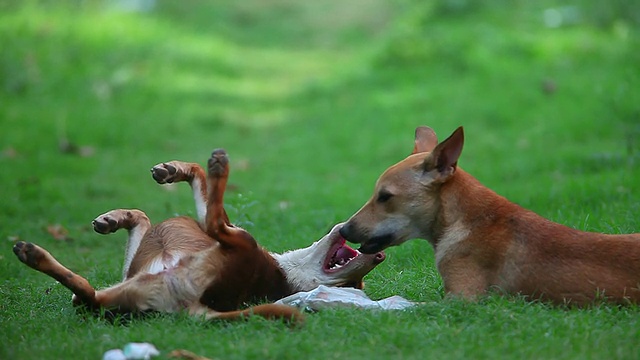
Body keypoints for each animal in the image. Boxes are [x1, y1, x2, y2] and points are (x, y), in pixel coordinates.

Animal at [15, 149, 384, 324]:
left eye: (355, 286)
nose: (379, 255)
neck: (286, 274)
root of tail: (191, 307)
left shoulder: (228, 233)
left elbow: (210, 210)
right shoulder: (132, 270)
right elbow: (159, 208)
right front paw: (168, 174)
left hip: (239, 244)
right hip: (117, 293)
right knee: (87, 294)